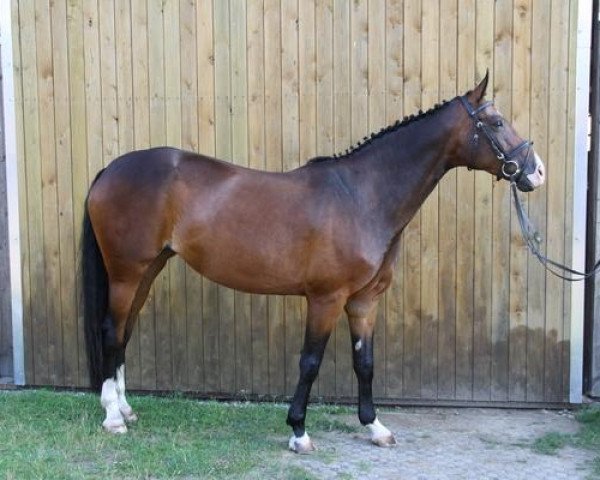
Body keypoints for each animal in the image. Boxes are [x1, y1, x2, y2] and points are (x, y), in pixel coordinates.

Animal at [82, 73, 548, 452]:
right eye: (497, 123)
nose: (536, 171)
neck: (362, 197)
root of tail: (111, 169)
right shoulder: (326, 299)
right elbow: (310, 362)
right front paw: (298, 432)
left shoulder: (364, 301)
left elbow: (365, 363)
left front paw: (375, 427)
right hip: (126, 273)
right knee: (111, 331)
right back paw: (112, 417)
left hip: (148, 270)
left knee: (124, 333)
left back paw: (126, 409)